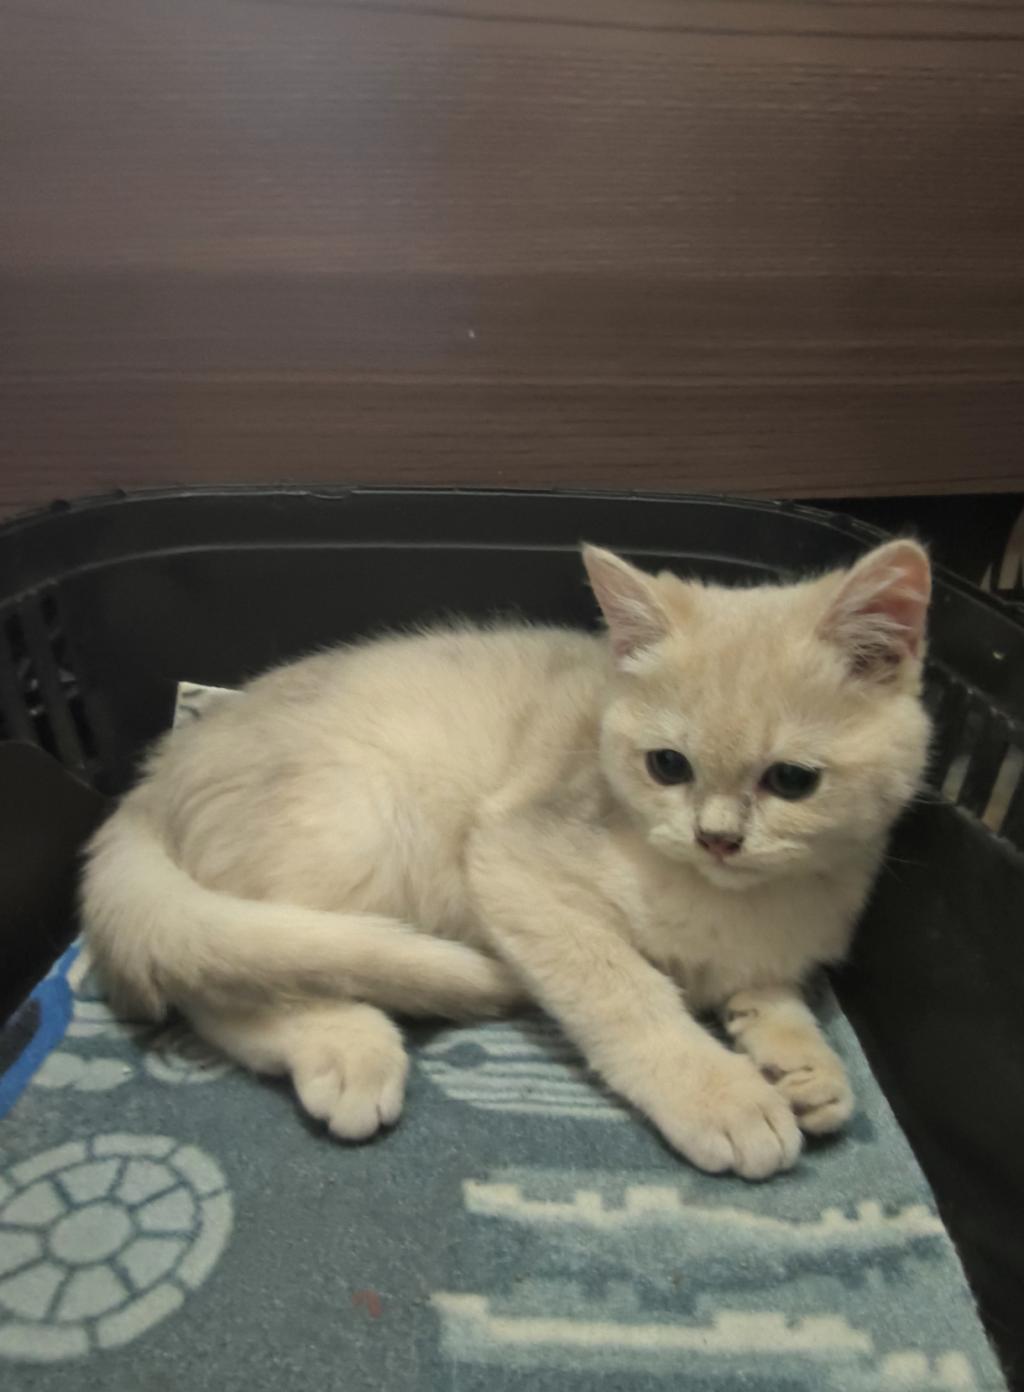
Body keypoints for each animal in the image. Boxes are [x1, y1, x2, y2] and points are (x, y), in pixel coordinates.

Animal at [82, 539, 931, 1180]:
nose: (716, 838)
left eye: (791, 781)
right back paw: (347, 1049)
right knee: (228, 974)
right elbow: (626, 993)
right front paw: (722, 1095)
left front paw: (806, 1068)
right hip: (358, 828)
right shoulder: (515, 862)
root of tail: (150, 780)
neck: (739, 905)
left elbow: (776, 996)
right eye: (667, 766)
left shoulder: (775, 955)